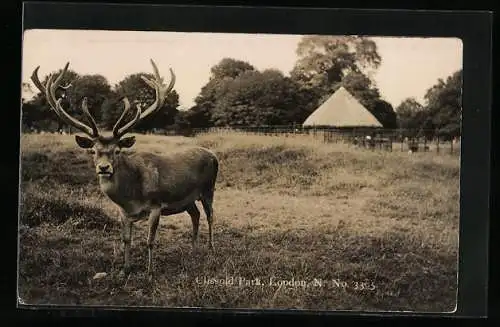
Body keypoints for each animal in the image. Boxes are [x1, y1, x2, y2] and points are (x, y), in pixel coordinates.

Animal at [30, 59, 219, 280]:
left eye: (117, 150)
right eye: (93, 151)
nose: (104, 168)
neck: (132, 196)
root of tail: (213, 155)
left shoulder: (156, 205)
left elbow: (150, 240)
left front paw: (149, 272)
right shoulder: (123, 212)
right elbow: (126, 239)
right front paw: (125, 269)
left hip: (209, 188)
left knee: (210, 215)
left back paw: (210, 249)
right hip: (188, 199)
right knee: (195, 215)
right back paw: (193, 248)